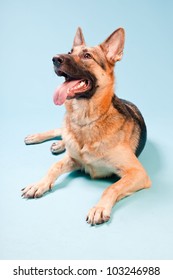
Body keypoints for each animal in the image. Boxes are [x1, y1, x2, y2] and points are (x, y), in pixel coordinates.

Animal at [22, 27, 151, 224]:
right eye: (69, 52)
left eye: (87, 56)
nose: (54, 58)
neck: (86, 122)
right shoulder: (74, 159)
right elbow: (54, 167)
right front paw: (39, 184)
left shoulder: (137, 173)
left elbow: (111, 187)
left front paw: (99, 208)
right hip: (65, 127)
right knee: (61, 130)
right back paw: (43, 139)